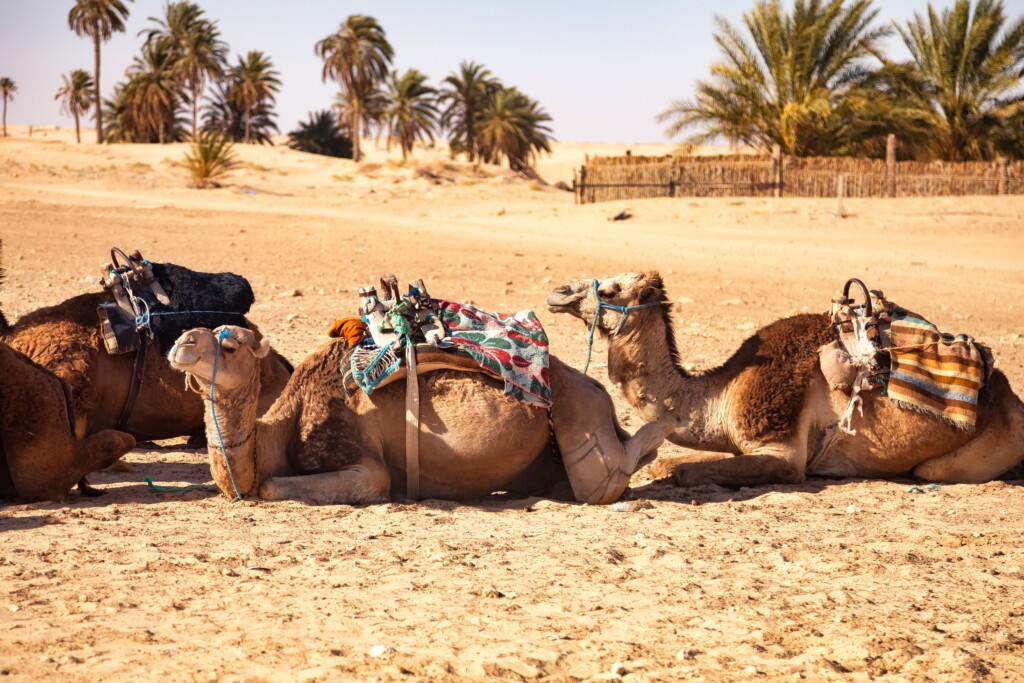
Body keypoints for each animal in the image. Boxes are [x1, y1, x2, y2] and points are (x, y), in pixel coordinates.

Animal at [167, 325, 672, 505]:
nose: (180, 342)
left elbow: (272, 485)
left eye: (231, 344)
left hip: (578, 413)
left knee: (605, 479)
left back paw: (664, 427)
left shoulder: (365, 465)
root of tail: (597, 391)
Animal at [547, 272, 1024, 487]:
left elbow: (675, 468)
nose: (558, 292)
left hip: (968, 455)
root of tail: (1009, 396)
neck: (721, 393)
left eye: (609, 290)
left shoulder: (782, 450)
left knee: (931, 470)